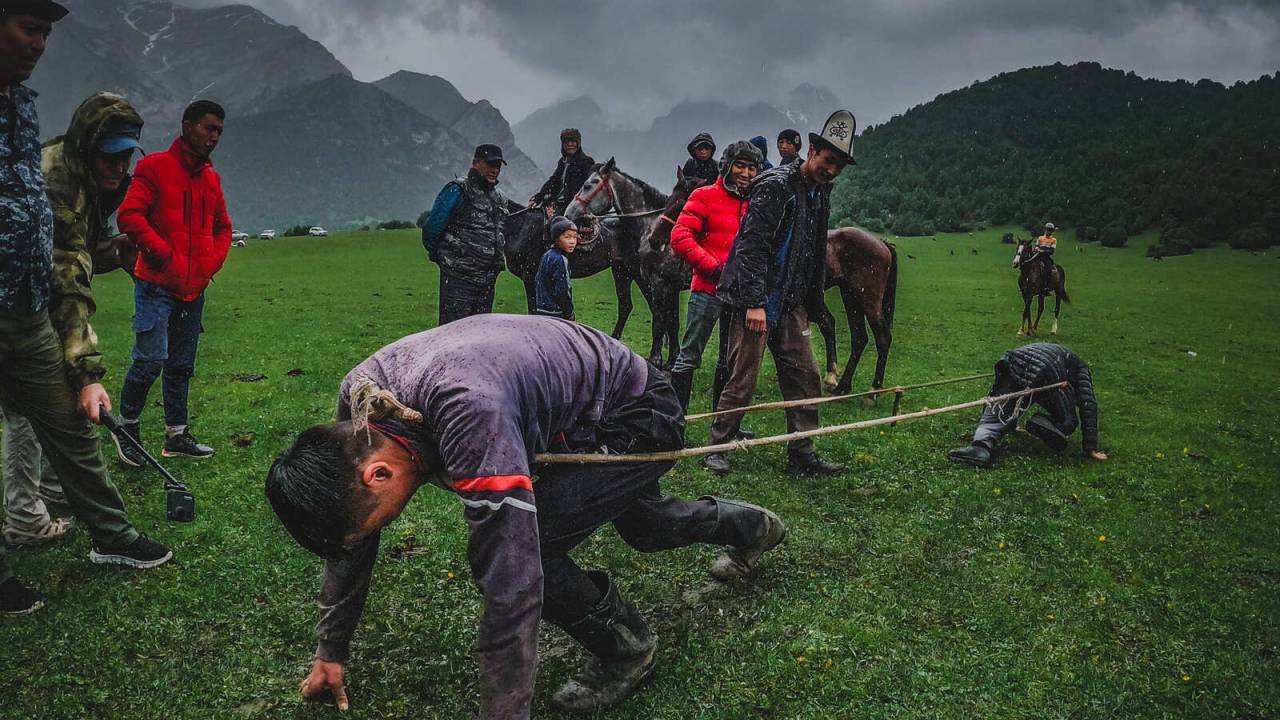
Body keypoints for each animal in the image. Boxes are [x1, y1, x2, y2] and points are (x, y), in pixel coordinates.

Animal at [814, 226, 896, 392]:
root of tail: (881, 242)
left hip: (868, 301)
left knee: (883, 338)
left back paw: (873, 389)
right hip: (850, 297)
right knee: (858, 337)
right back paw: (843, 385)